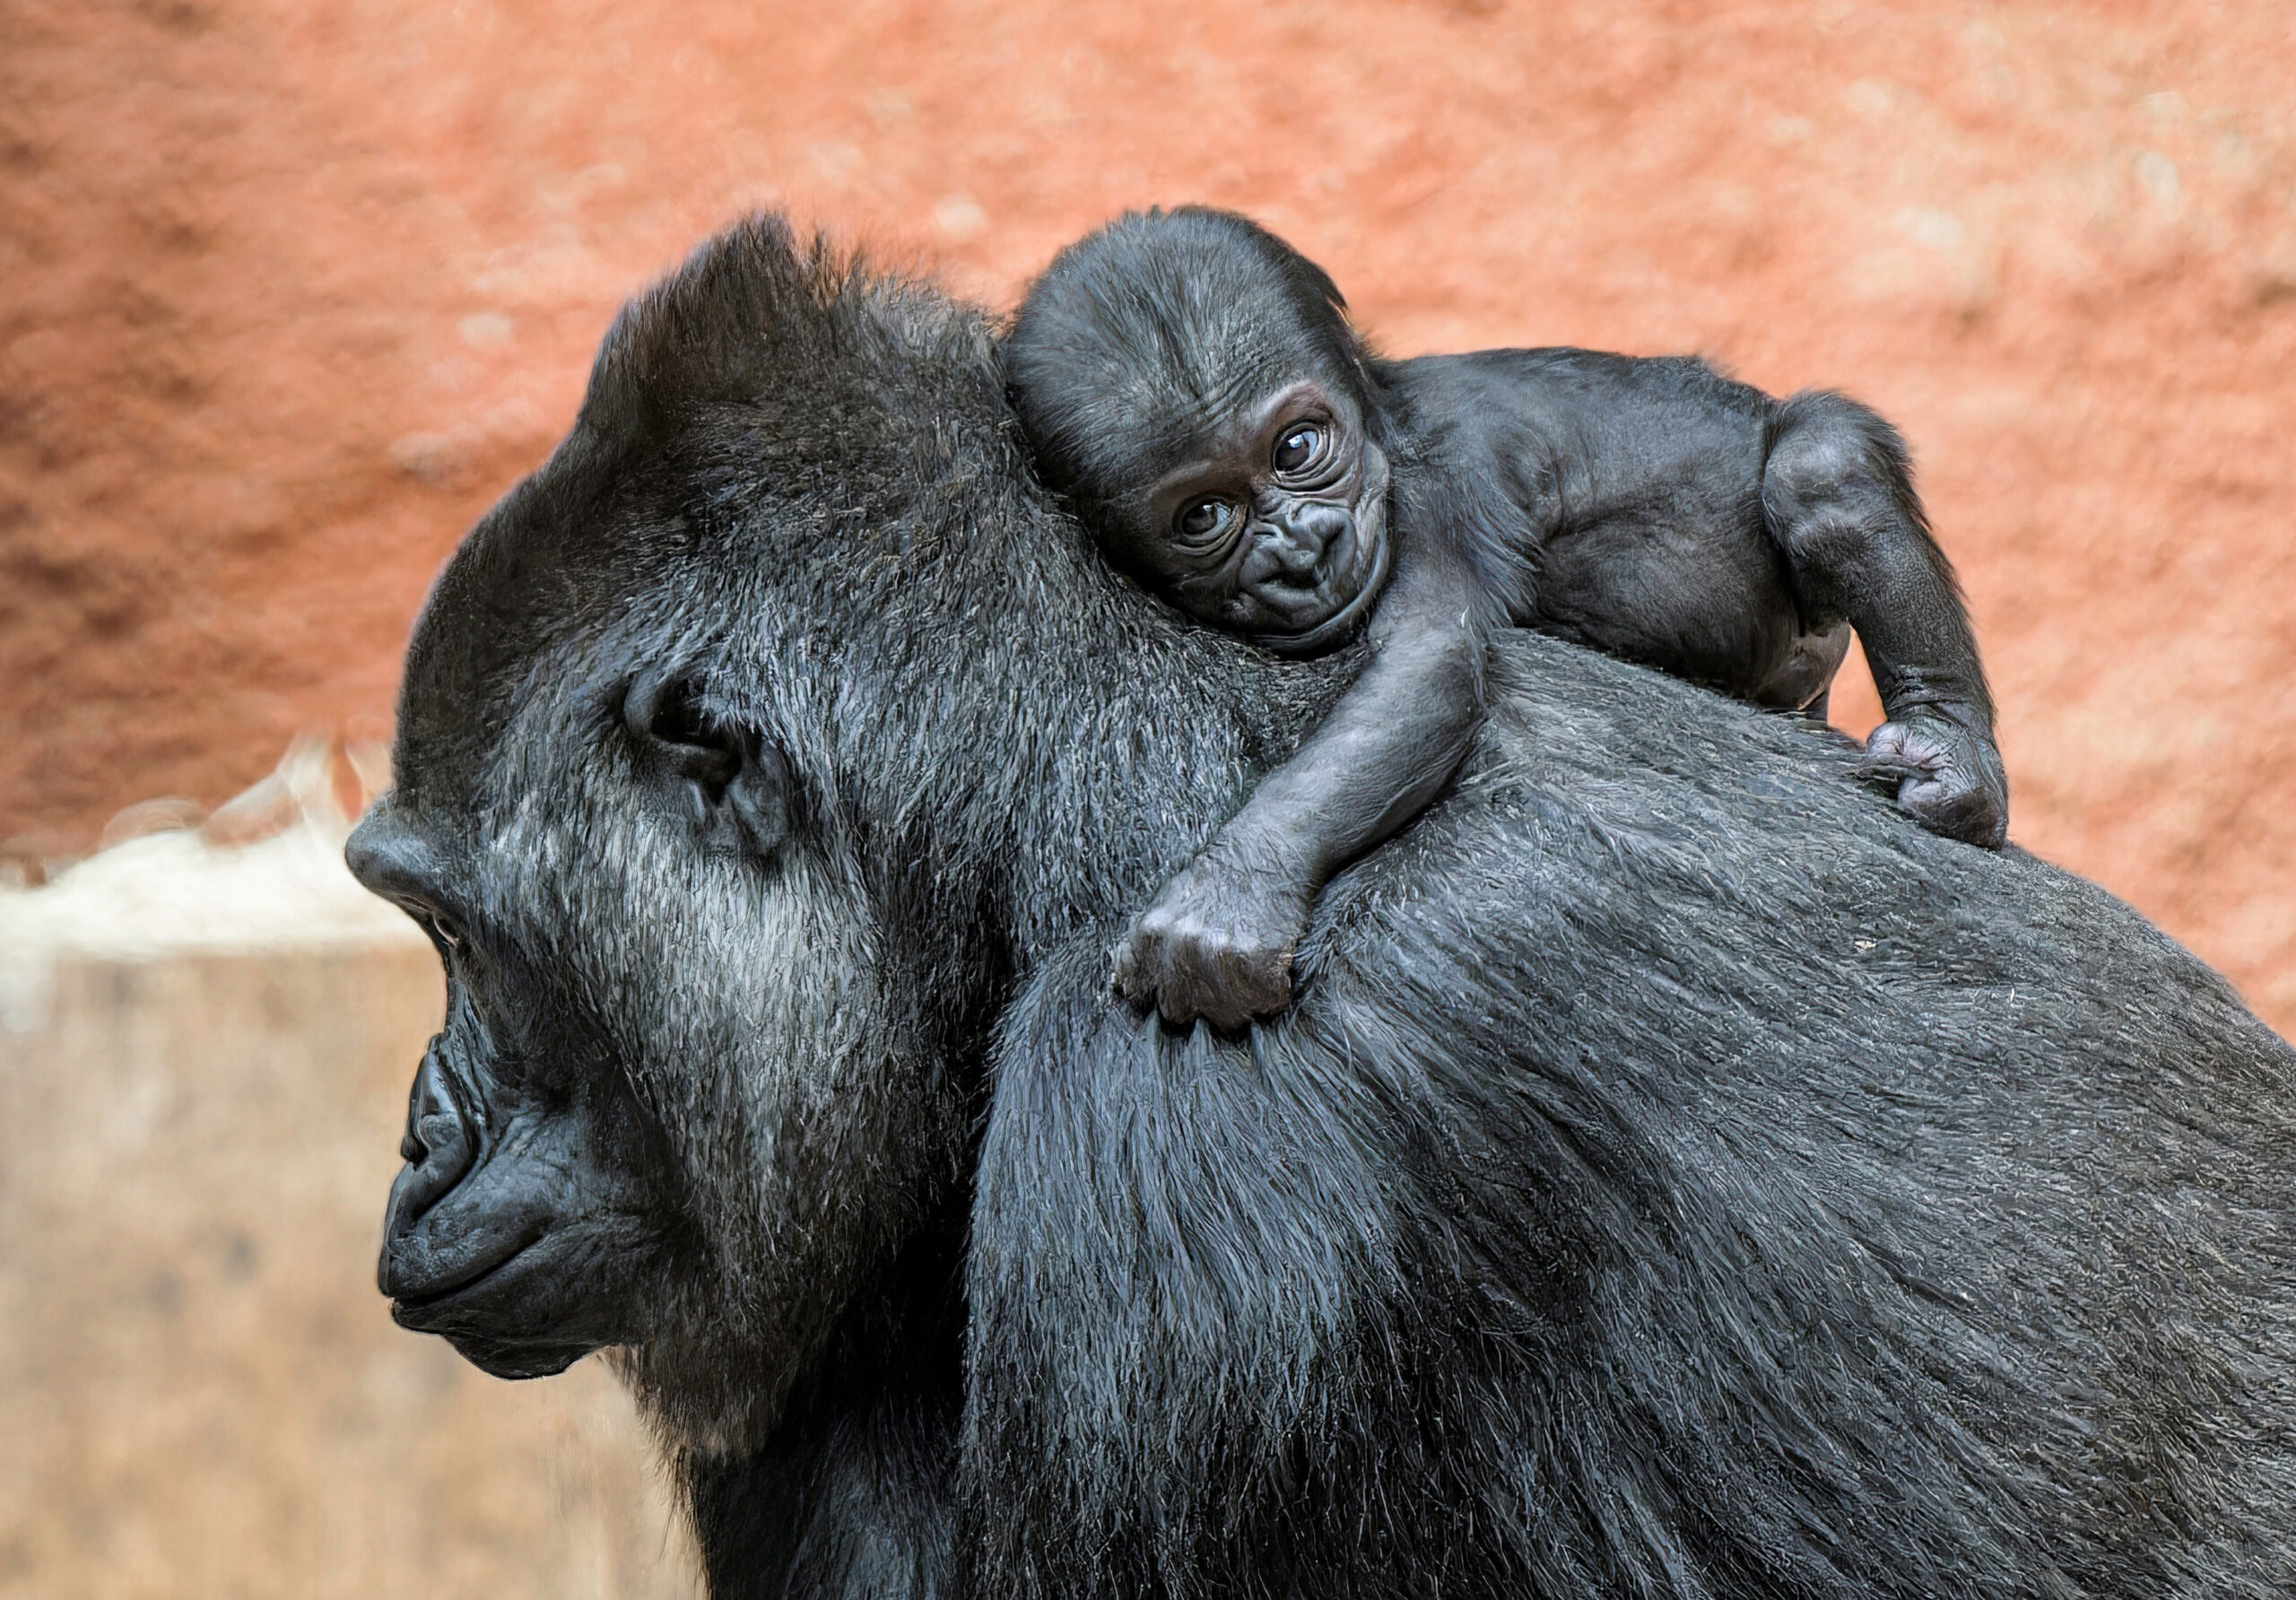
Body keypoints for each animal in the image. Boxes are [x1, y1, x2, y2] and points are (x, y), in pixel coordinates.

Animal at [1005, 208, 2011, 1023]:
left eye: (1297, 447)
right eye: (1203, 515)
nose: (1302, 549)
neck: (1380, 425)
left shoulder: (1435, 493)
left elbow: (1426, 666)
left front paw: (1231, 890)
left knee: (1821, 472)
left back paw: (1948, 745)